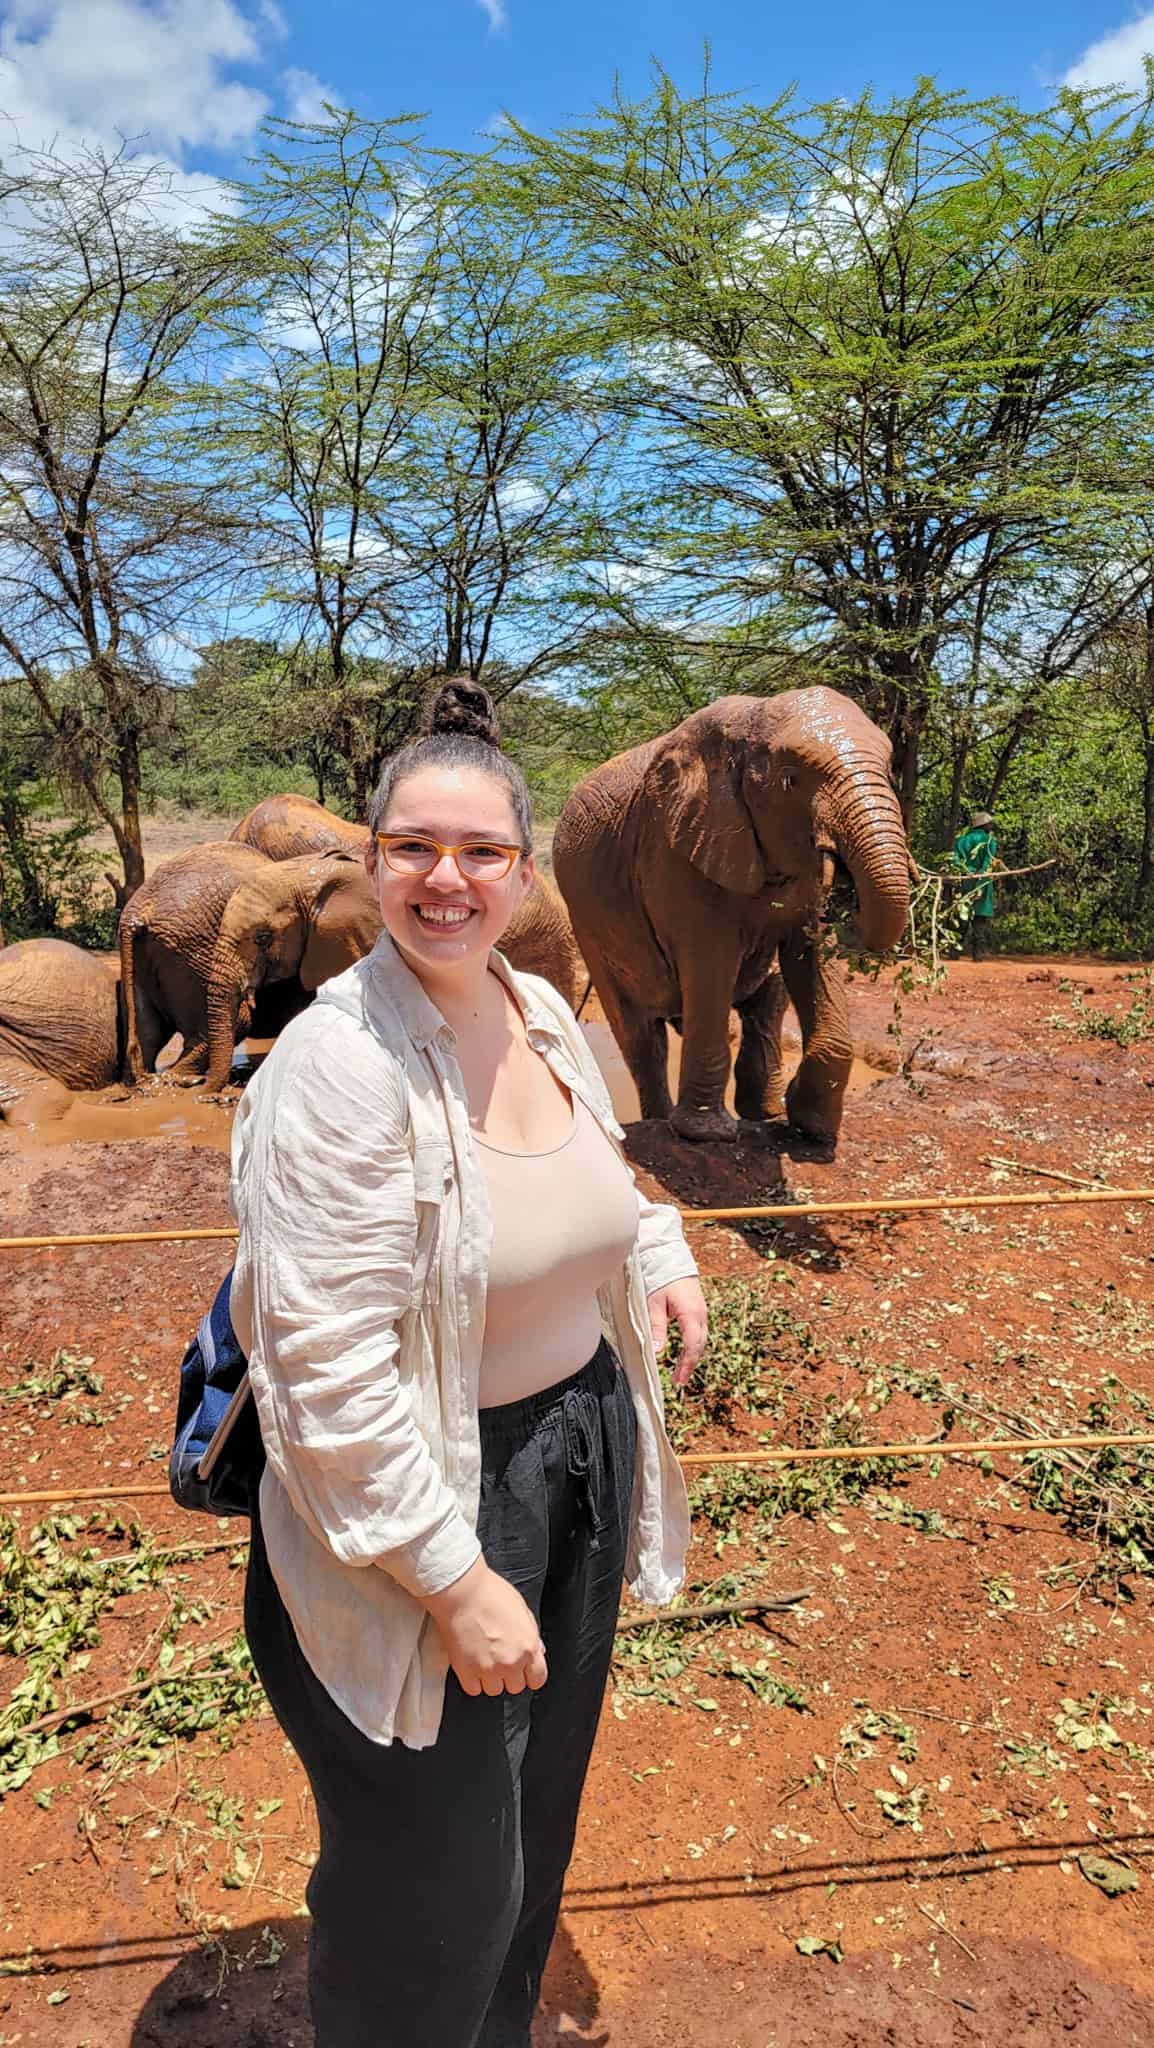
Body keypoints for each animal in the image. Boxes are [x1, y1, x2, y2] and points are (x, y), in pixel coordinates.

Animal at [549, 684, 914, 1138]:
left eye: (889, 771)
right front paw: (706, 1134)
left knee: (766, 1003)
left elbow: (808, 955)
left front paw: (811, 1127)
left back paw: (764, 1112)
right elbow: (710, 961)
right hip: (587, 925)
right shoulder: (675, 847)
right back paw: (659, 1120)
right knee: (641, 1035)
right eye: (790, 780)